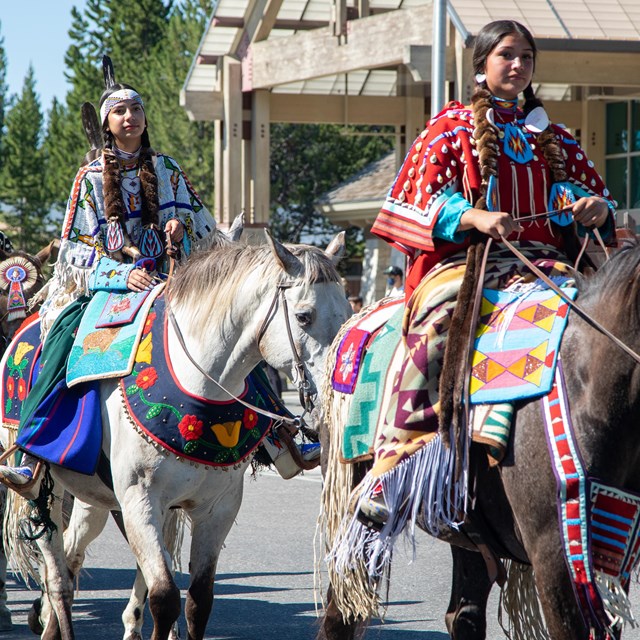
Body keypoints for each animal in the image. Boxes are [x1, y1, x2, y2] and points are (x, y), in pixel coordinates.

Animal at [2, 232, 352, 636]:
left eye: (347, 314)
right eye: (303, 316)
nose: (332, 402)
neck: (198, 380)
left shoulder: (217, 508)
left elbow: (198, 601)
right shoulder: (140, 501)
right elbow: (164, 596)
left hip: (94, 497)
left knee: (73, 558)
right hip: (43, 486)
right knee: (57, 576)